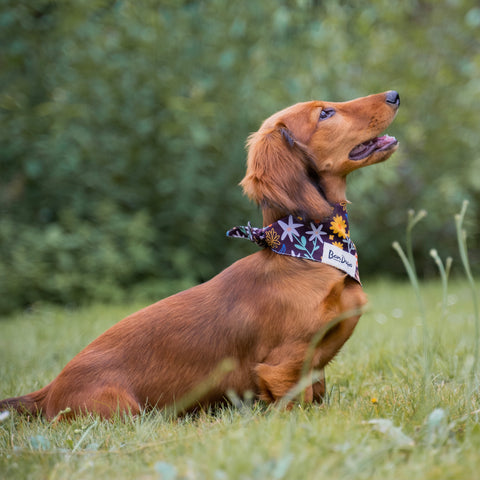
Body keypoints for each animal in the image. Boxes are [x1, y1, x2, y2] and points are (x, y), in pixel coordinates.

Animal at [0, 91, 400, 420]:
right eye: (326, 113)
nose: (394, 95)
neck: (305, 252)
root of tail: (50, 389)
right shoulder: (283, 367)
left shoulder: (313, 370)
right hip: (123, 409)